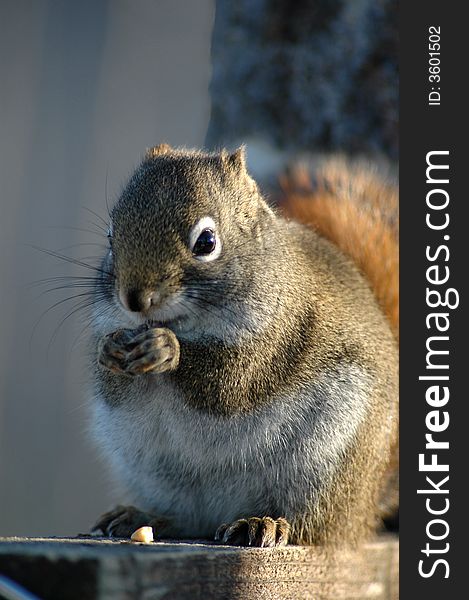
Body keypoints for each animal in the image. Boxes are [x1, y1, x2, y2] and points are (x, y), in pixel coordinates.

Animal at [89, 145, 396, 548]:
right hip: (156, 471)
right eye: (110, 237)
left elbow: (230, 385)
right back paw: (142, 517)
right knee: (187, 518)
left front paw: (167, 349)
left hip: (326, 467)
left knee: (312, 525)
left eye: (206, 242)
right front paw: (110, 349)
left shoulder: (278, 334)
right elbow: (113, 384)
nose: (134, 300)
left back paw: (265, 522)